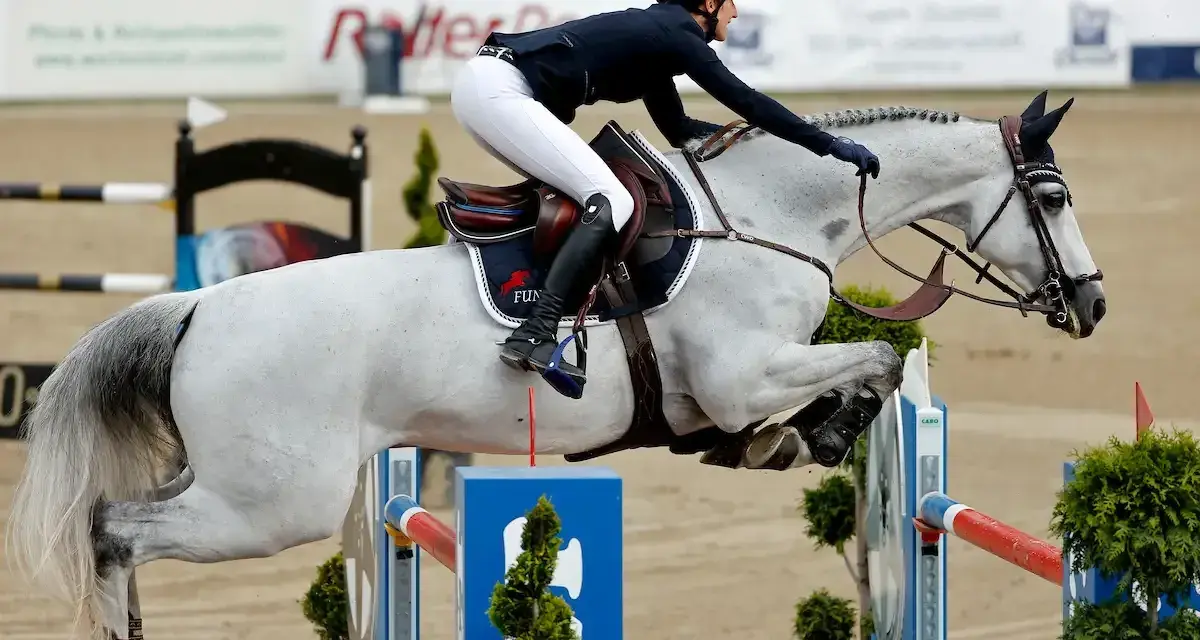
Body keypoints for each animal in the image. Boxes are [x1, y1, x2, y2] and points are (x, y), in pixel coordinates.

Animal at [7, 91, 1104, 638]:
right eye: (1051, 198)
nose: (1091, 305)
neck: (771, 216)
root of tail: (195, 307)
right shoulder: (744, 373)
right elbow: (876, 352)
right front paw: (805, 437)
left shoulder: (754, 372)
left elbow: (869, 358)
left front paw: (787, 441)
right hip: (268, 505)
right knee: (111, 531)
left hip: (236, 486)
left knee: (117, 526)